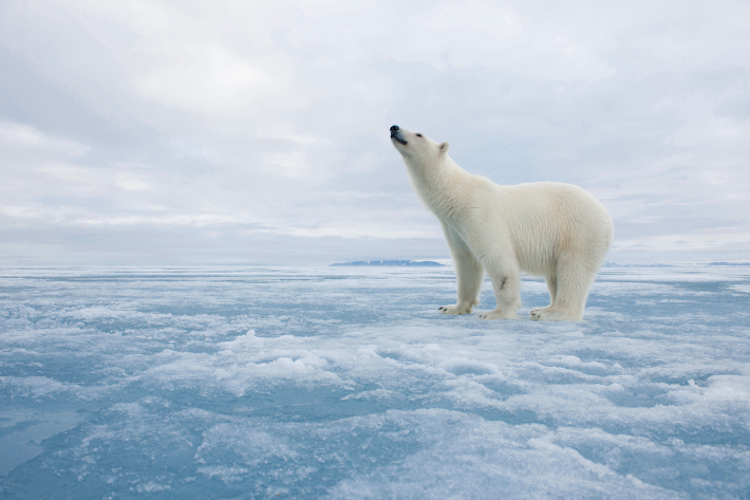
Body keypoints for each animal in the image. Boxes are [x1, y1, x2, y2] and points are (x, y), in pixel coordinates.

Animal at [390, 125, 613, 321]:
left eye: (419, 134)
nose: (394, 127)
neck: (459, 195)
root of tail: (606, 214)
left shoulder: (481, 215)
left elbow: (498, 259)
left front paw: (495, 313)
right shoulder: (455, 227)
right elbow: (466, 263)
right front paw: (452, 307)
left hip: (579, 230)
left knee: (573, 270)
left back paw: (552, 313)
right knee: (555, 275)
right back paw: (543, 308)